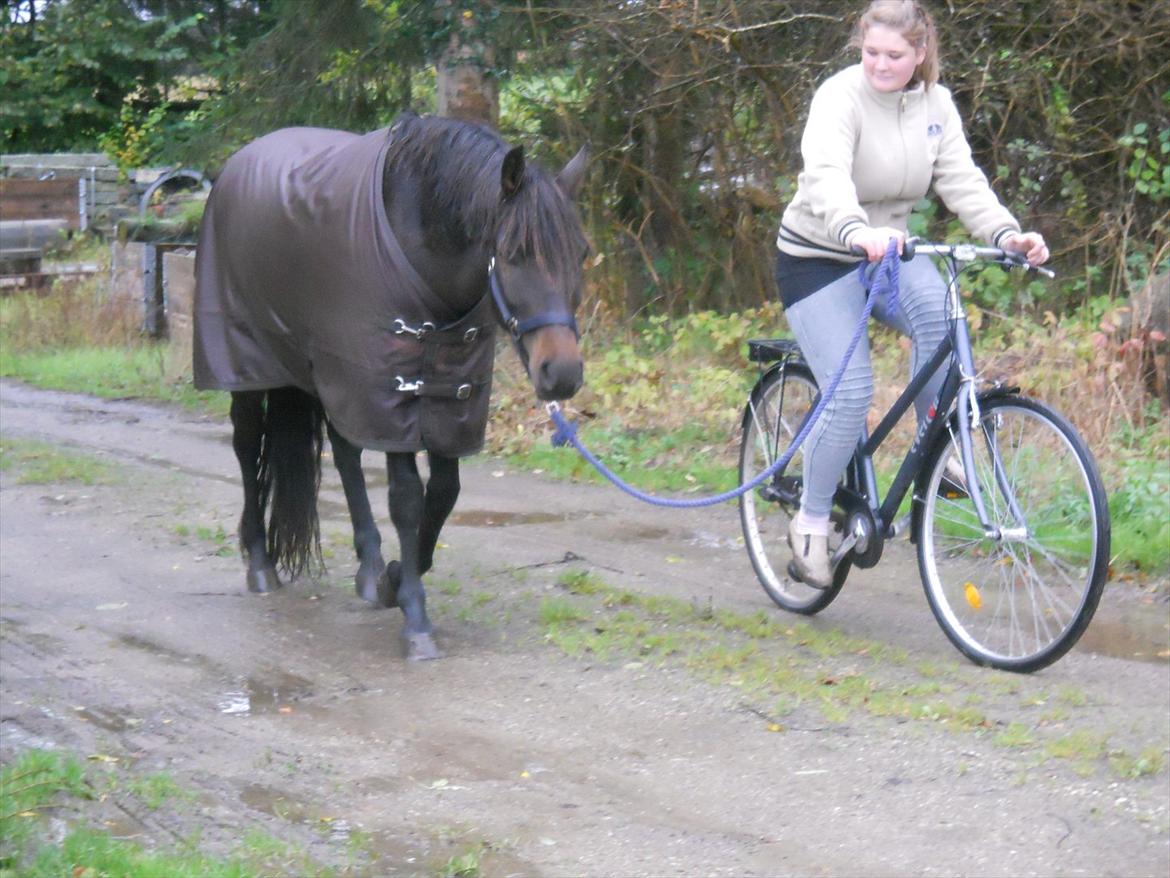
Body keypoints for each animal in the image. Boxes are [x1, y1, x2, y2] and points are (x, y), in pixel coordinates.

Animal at [192, 113, 588, 660]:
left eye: (582, 254)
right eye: (512, 254)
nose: (563, 372)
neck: (420, 235)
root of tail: (238, 164)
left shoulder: (450, 397)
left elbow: (443, 493)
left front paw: (395, 579)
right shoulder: (392, 392)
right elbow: (406, 498)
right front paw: (415, 616)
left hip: (334, 376)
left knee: (344, 454)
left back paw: (370, 566)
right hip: (251, 366)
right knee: (248, 446)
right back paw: (259, 563)